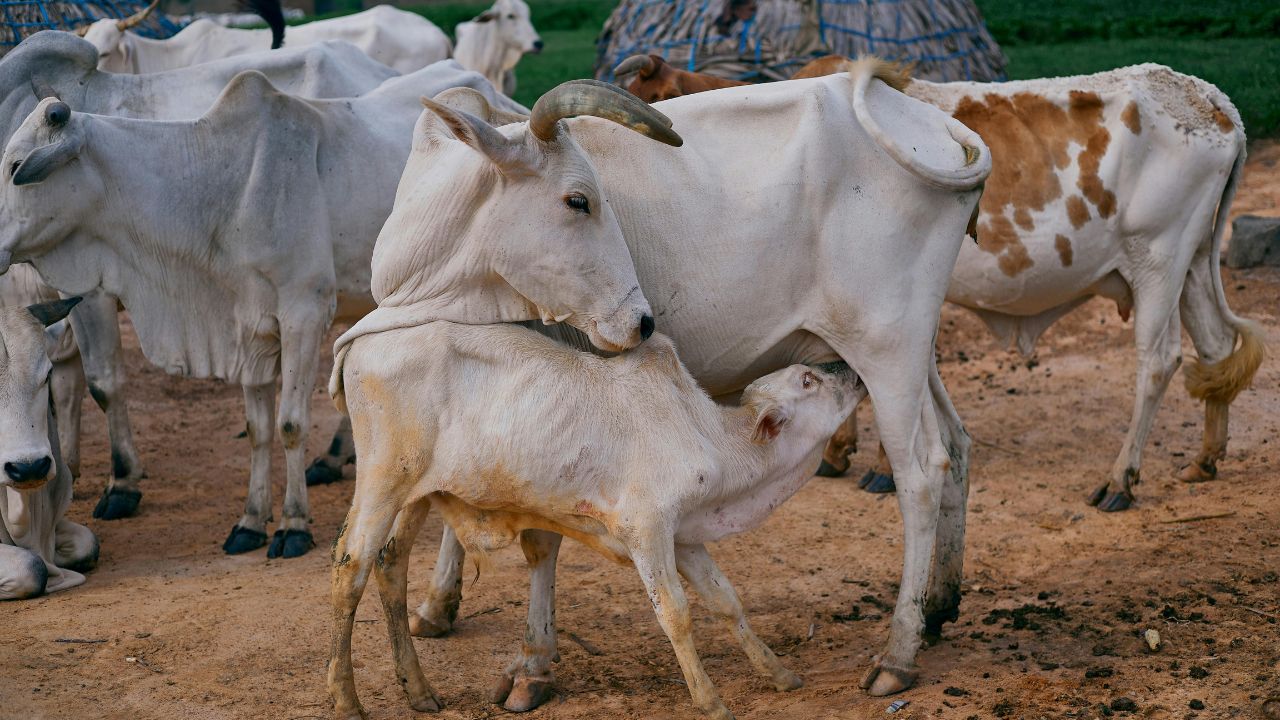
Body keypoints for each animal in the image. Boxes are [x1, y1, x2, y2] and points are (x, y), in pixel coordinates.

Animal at [0, 78, 677, 558]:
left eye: (12, 169)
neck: (223, 181)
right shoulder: (251, 324)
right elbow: (259, 423)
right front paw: (251, 519)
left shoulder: (304, 309)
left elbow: (290, 422)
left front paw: (292, 526)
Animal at [327, 323, 864, 720]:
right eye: (809, 380)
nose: (852, 372)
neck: (709, 438)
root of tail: (362, 340)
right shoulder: (647, 528)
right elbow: (676, 613)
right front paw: (711, 701)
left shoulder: (684, 538)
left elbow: (726, 602)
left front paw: (779, 673)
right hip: (382, 481)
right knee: (349, 569)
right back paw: (347, 700)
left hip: (417, 493)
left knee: (390, 566)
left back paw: (418, 690)